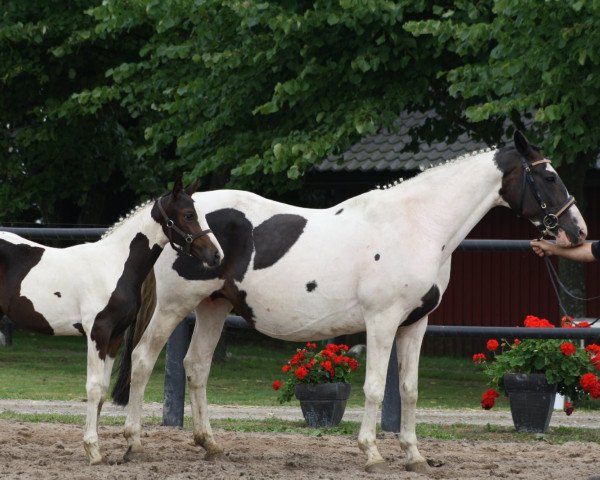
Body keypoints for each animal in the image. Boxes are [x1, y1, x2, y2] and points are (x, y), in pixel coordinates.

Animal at [0, 181, 224, 464]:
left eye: (200, 214)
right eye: (188, 215)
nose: (215, 255)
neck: (114, 265)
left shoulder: (115, 336)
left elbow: (103, 391)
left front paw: (96, 448)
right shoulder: (98, 332)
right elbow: (94, 388)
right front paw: (93, 451)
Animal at [116, 132, 584, 472]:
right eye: (547, 177)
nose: (576, 232)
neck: (418, 225)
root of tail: (169, 223)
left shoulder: (415, 325)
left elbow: (409, 390)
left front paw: (414, 456)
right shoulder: (382, 321)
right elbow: (376, 387)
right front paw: (372, 453)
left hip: (213, 306)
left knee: (196, 367)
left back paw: (210, 444)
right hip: (172, 308)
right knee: (142, 360)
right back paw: (133, 443)